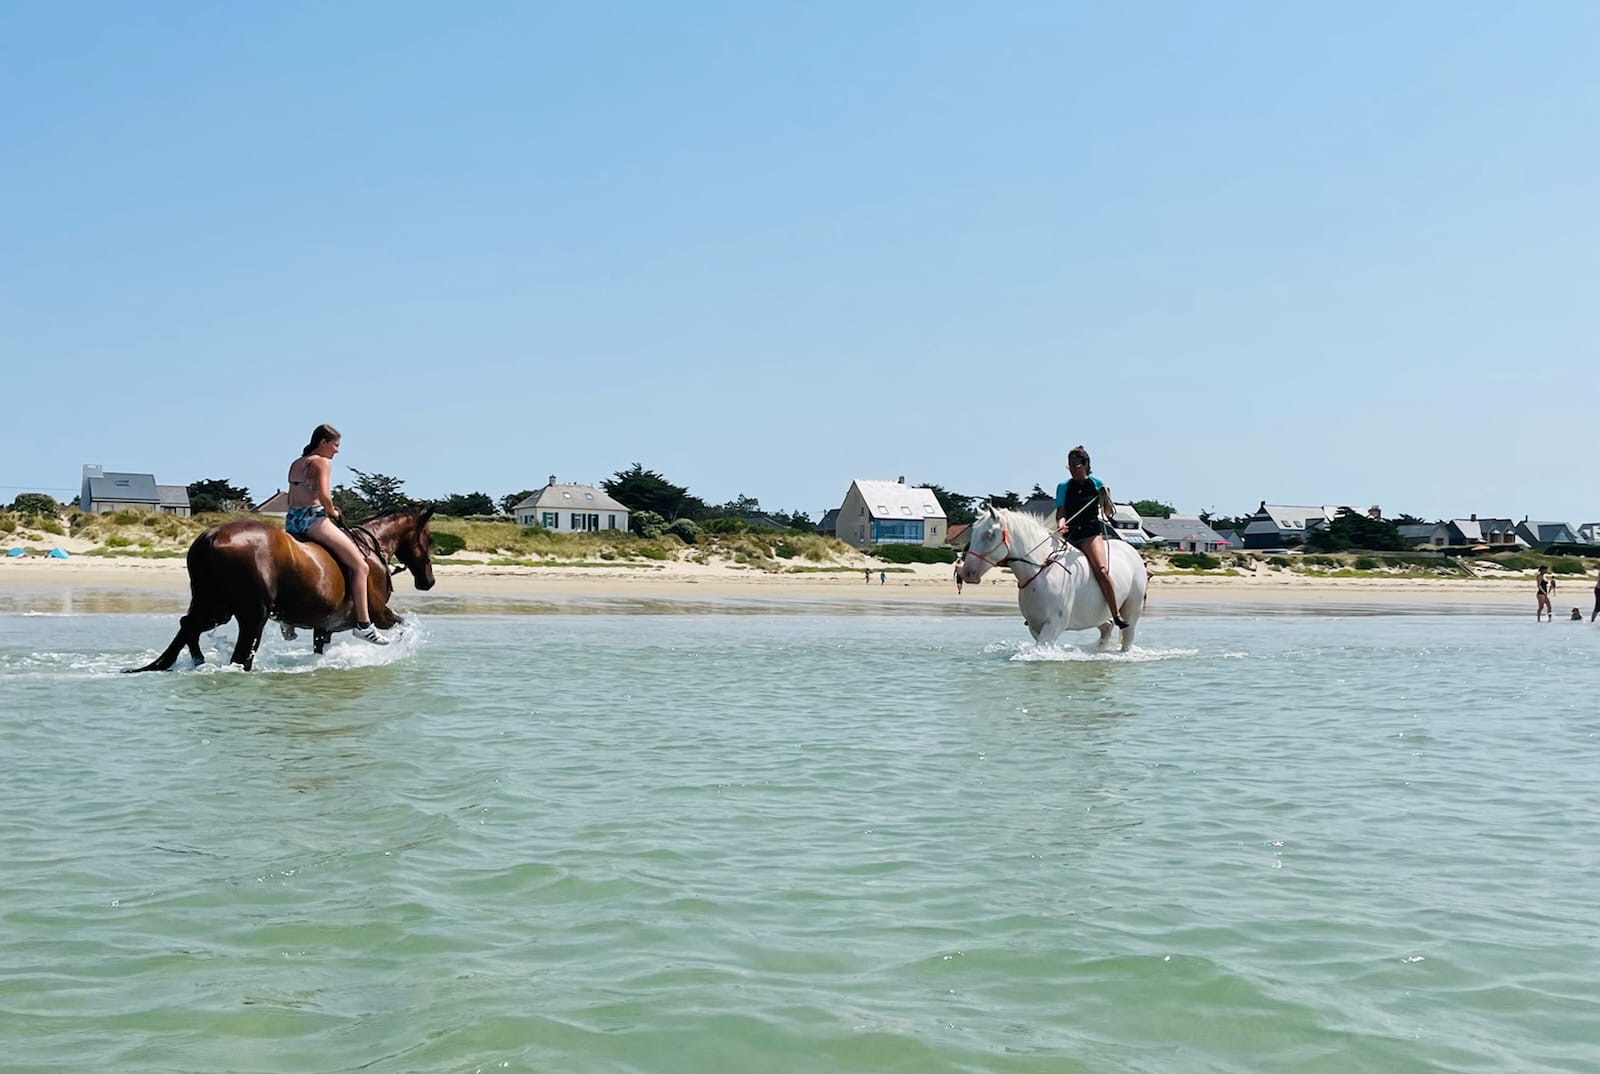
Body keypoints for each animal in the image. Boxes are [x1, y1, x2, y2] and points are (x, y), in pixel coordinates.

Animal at [127, 507, 437, 672]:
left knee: (188, 626)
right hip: (253, 616)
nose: (429, 581)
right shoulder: (379, 614)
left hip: (214, 608)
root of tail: (211, 536)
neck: (371, 548)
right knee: (239, 655)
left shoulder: (323, 627)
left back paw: (191, 661)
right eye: (429, 538)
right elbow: (403, 627)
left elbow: (319, 649)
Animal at [959, 504, 1147, 650]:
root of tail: (1133, 553)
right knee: (1106, 628)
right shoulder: (1035, 626)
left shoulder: (1054, 625)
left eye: (989, 534)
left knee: (1127, 635)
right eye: (973, 533)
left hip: (1131, 611)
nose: (967, 572)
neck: (1040, 571)